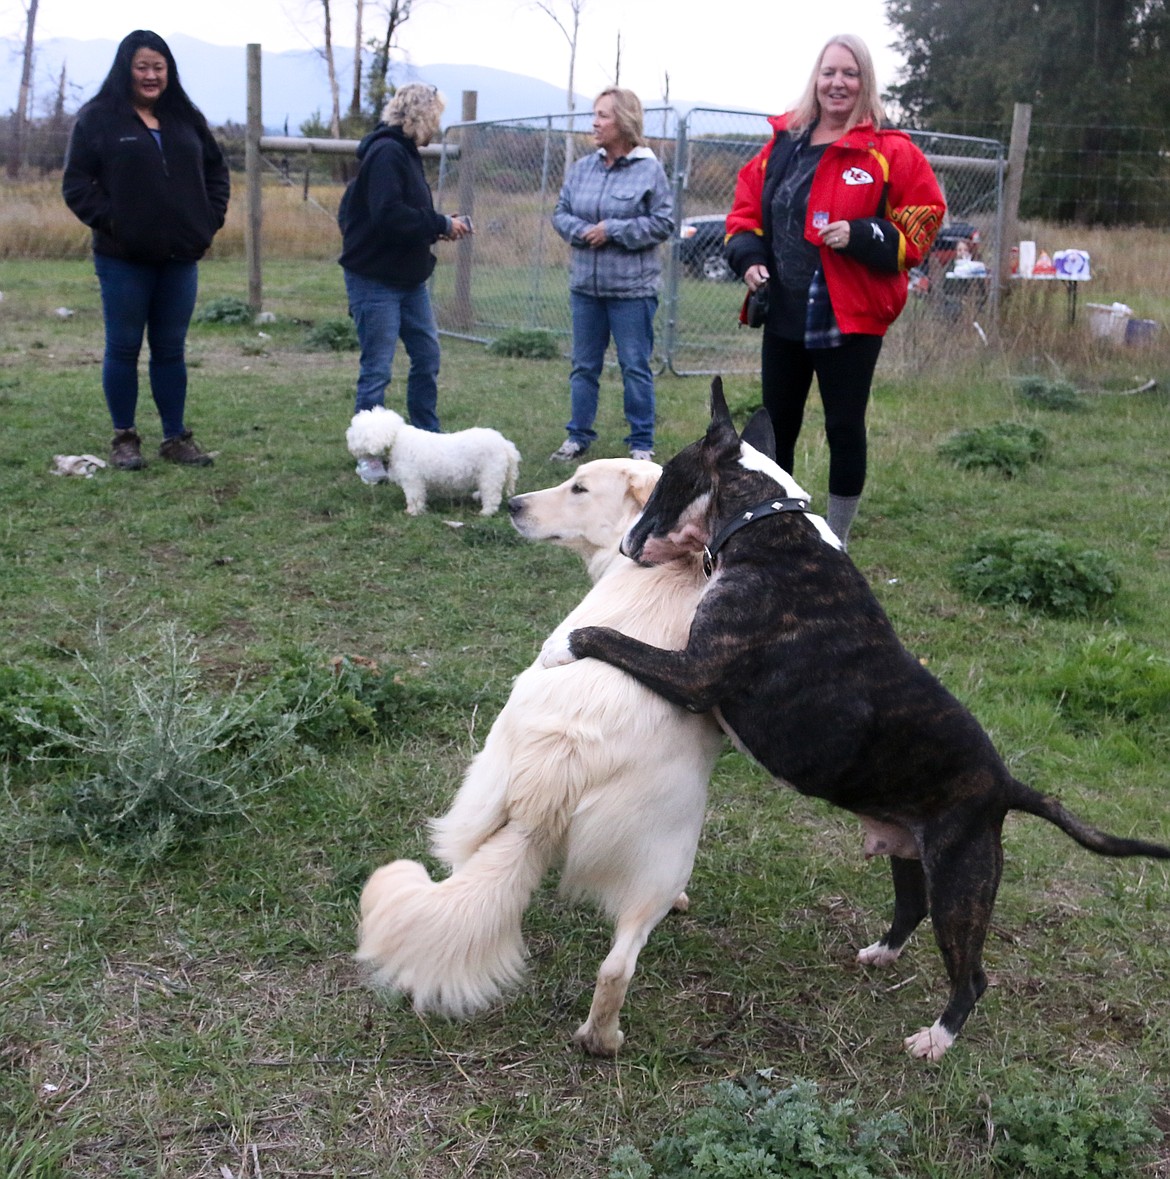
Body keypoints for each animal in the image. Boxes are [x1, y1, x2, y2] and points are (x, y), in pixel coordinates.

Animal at [342, 405, 516, 516]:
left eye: (356, 434)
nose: (349, 445)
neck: (396, 439)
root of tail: (505, 444)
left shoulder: (412, 480)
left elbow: (414, 497)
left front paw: (412, 512)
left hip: (490, 474)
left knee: (492, 496)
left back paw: (486, 512)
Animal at [356, 455, 721, 1056]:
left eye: (579, 488)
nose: (512, 504)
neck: (679, 565)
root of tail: (561, 760)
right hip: (668, 857)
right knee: (618, 966)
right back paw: (604, 1039)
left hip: (480, 803)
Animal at [561, 374, 1165, 1061]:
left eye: (664, 483)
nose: (627, 545)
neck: (768, 523)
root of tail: (1006, 786)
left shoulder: (696, 673)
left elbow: (613, 639)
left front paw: (570, 643)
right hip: (910, 845)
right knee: (911, 908)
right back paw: (882, 953)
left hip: (962, 879)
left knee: (972, 973)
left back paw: (936, 1039)